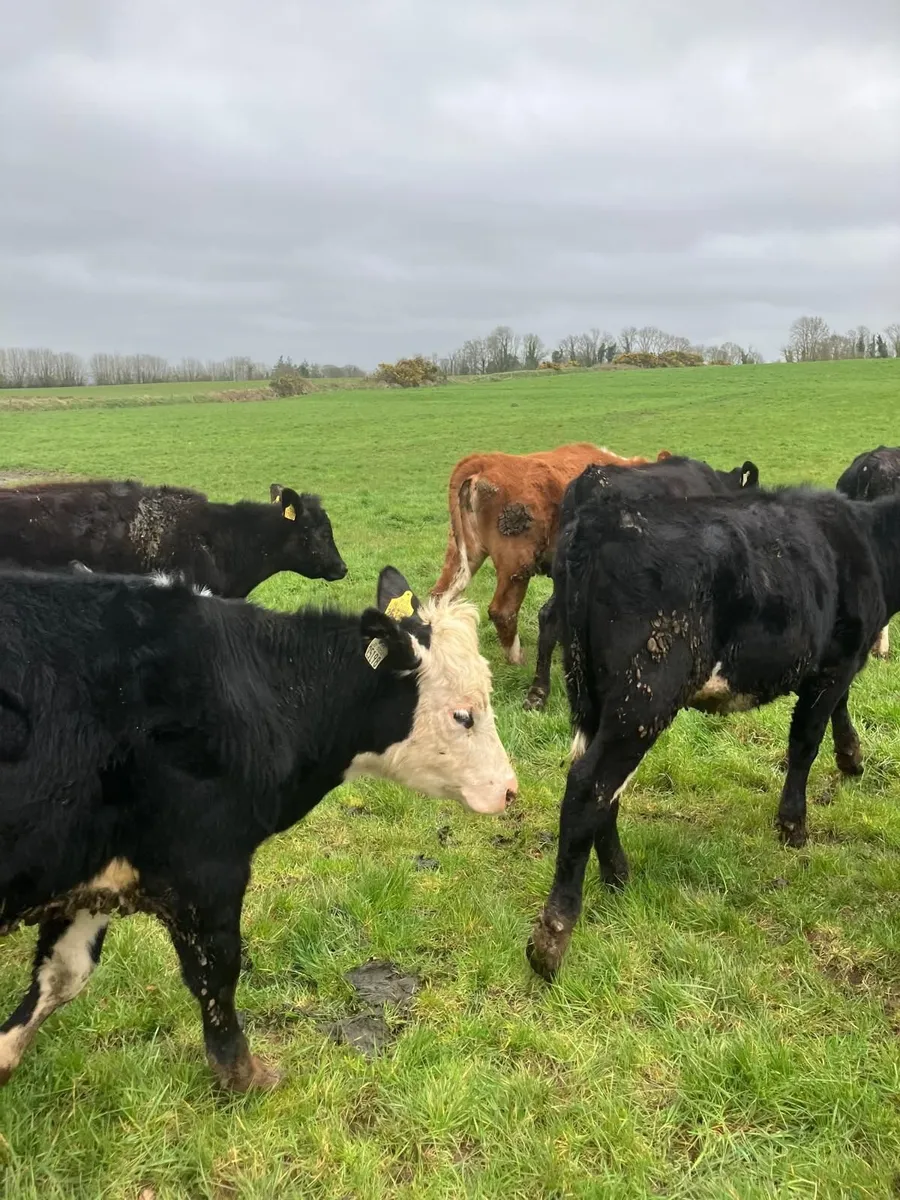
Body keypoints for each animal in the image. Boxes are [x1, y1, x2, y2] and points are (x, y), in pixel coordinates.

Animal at [0, 565, 517, 1092]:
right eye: (463, 714)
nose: (510, 788)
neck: (260, 695)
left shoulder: (94, 875)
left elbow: (63, 974)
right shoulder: (204, 871)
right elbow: (217, 976)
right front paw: (245, 1076)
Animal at [430, 443, 671, 665]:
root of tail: (485, 460)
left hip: (464, 551)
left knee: (440, 595)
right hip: (517, 561)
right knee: (503, 611)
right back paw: (518, 660)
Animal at [525, 483, 899, 982]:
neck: (869, 540)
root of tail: (600, 521)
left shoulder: (835, 665)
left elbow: (837, 713)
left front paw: (851, 758)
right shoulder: (836, 663)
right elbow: (804, 742)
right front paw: (793, 825)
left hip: (593, 698)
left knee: (603, 785)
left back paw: (618, 875)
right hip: (643, 697)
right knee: (590, 785)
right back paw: (553, 936)